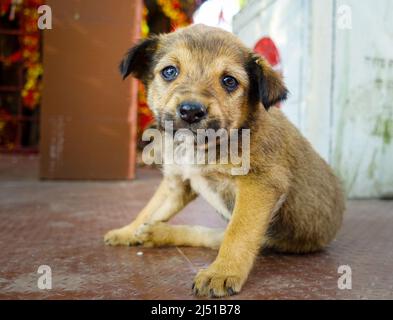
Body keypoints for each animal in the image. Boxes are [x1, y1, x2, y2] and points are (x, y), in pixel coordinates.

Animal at [104, 24, 344, 298]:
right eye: (169, 71)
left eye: (229, 81)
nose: (191, 111)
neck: (203, 146)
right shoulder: (178, 181)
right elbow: (150, 208)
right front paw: (127, 231)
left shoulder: (260, 184)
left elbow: (238, 233)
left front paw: (221, 273)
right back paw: (155, 232)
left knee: (223, 237)